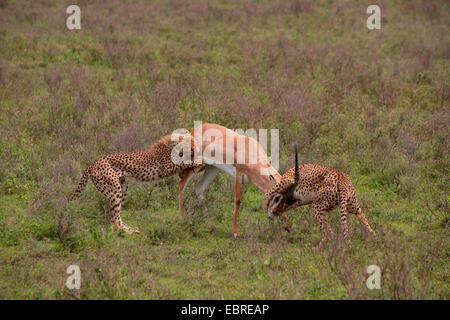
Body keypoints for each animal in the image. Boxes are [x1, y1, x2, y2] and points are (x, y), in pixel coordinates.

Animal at [69, 131, 202, 234]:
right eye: (191, 143)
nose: (197, 148)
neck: (174, 146)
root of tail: (92, 164)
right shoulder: (166, 168)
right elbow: (185, 162)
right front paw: (199, 160)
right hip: (115, 188)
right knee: (113, 220)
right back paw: (127, 232)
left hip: (122, 187)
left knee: (117, 215)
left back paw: (132, 229)